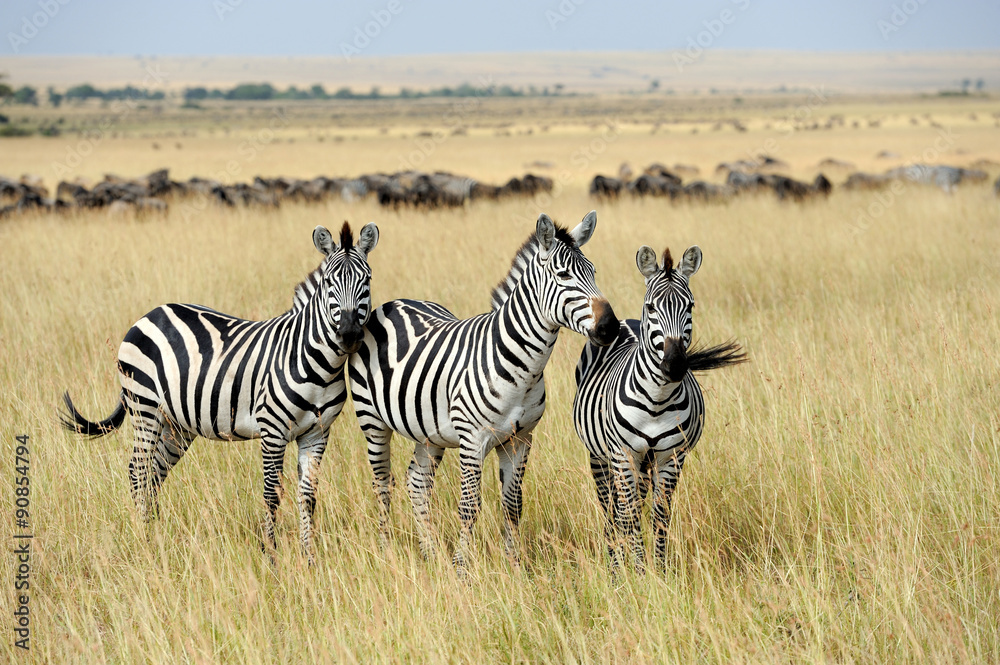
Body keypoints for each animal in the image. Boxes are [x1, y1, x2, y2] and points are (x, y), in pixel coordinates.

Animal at [58, 223, 378, 560]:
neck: (318, 364)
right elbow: (271, 492)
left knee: (155, 472)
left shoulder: (317, 433)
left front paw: (309, 557)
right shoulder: (273, 431)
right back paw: (143, 537)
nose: (349, 335)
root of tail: (150, 313)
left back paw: (156, 537)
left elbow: (308, 495)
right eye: (329, 282)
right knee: (138, 470)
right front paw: (270, 554)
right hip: (145, 408)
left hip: (177, 425)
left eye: (367, 280)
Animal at [350, 211, 616, 572]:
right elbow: (470, 506)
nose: (610, 327)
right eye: (563, 275)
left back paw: (431, 553)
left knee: (417, 484)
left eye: (593, 272)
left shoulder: (520, 440)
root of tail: (394, 303)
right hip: (372, 421)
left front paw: (515, 566)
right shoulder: (472, 439)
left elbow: (513, 506)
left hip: (429, 434)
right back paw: (386, 551)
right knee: (382, 484)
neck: (523, 368)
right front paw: (462, 568)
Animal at [576, 244, 748, 572]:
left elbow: (660, 514)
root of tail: (627, 321)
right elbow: (628, 515)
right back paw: (614, 563)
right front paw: (637, 572)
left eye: (690, 306)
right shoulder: (623, 454)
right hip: (600, 456)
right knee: (611, 508)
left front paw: (659, 570)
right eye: (652, 307)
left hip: (647, 462)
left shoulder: (672, 456)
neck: (656, 399)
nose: (675, 365)